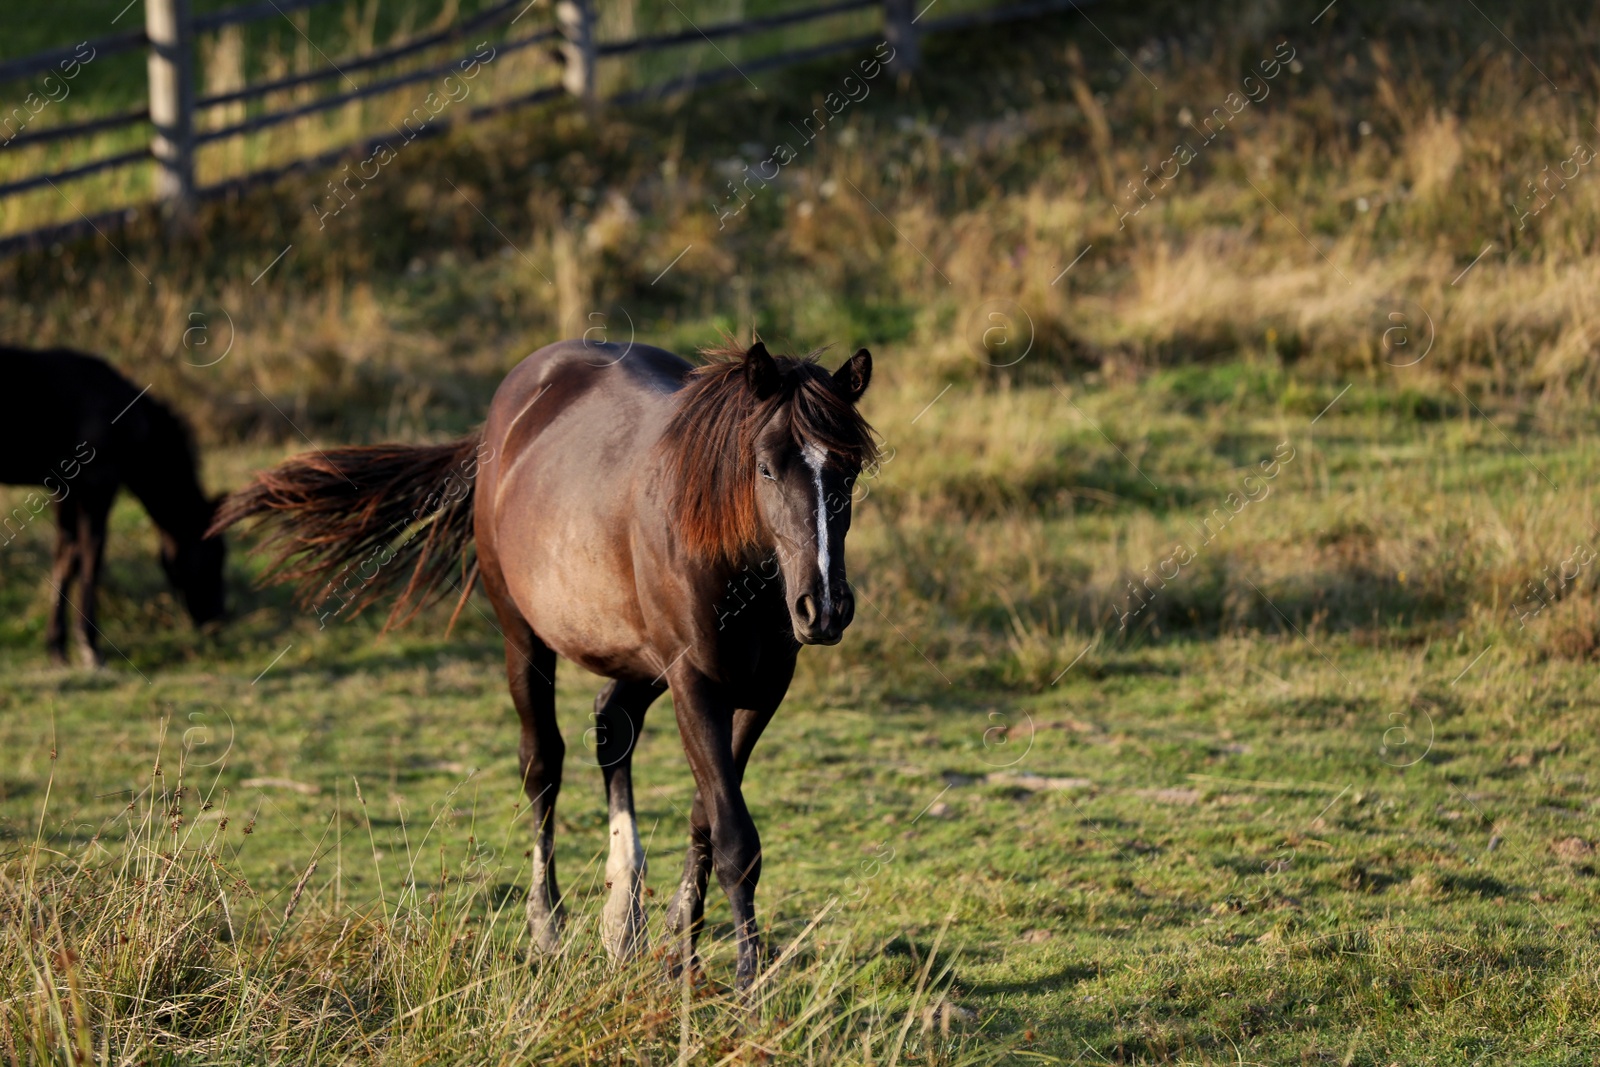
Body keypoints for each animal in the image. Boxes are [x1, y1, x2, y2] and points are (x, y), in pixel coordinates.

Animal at [0, 347, 228, 662]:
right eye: (216, 555)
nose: (217, 620)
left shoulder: (67, 490)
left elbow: (66, 557)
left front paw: (57, 646)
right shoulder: (99, 484)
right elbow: (91, 556)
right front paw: (89, 646)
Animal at [212, 337, 876, 991]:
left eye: (848, 470)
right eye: (765, 467)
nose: (823, 608)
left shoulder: (763, 689)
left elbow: (708, 812)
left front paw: (680, 944)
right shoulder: (695, 681)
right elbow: (735, 835)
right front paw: (747, 979)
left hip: (637, 658)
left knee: (611, 725)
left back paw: (623, 921)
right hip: (524, 637)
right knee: (542, 763)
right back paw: (548, 929)